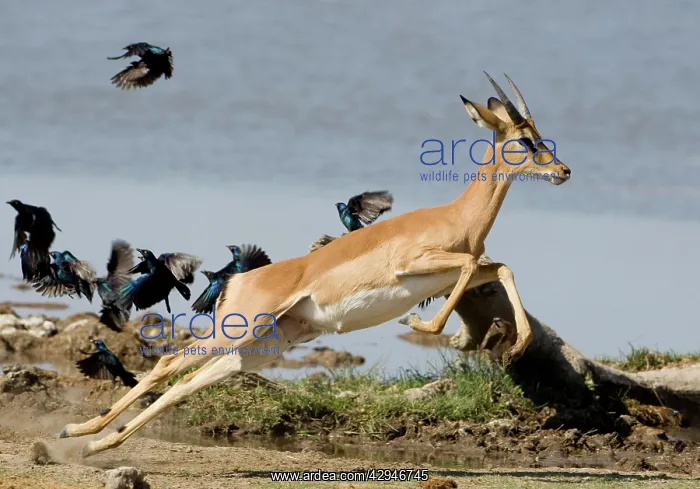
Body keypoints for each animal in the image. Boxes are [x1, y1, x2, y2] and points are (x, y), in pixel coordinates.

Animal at [61, 72, 571, 457]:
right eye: (526, 139)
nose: (563, 171)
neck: (456, 217)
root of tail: (237, 280)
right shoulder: (418, 266)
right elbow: (472, 268)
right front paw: (417, 323)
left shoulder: (451, 272)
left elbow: (500, 268)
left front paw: (517, 346)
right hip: (240, 331)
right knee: (170, 361)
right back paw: (85, 436)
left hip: (259, 347)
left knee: (189, 381)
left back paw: (92, 440)